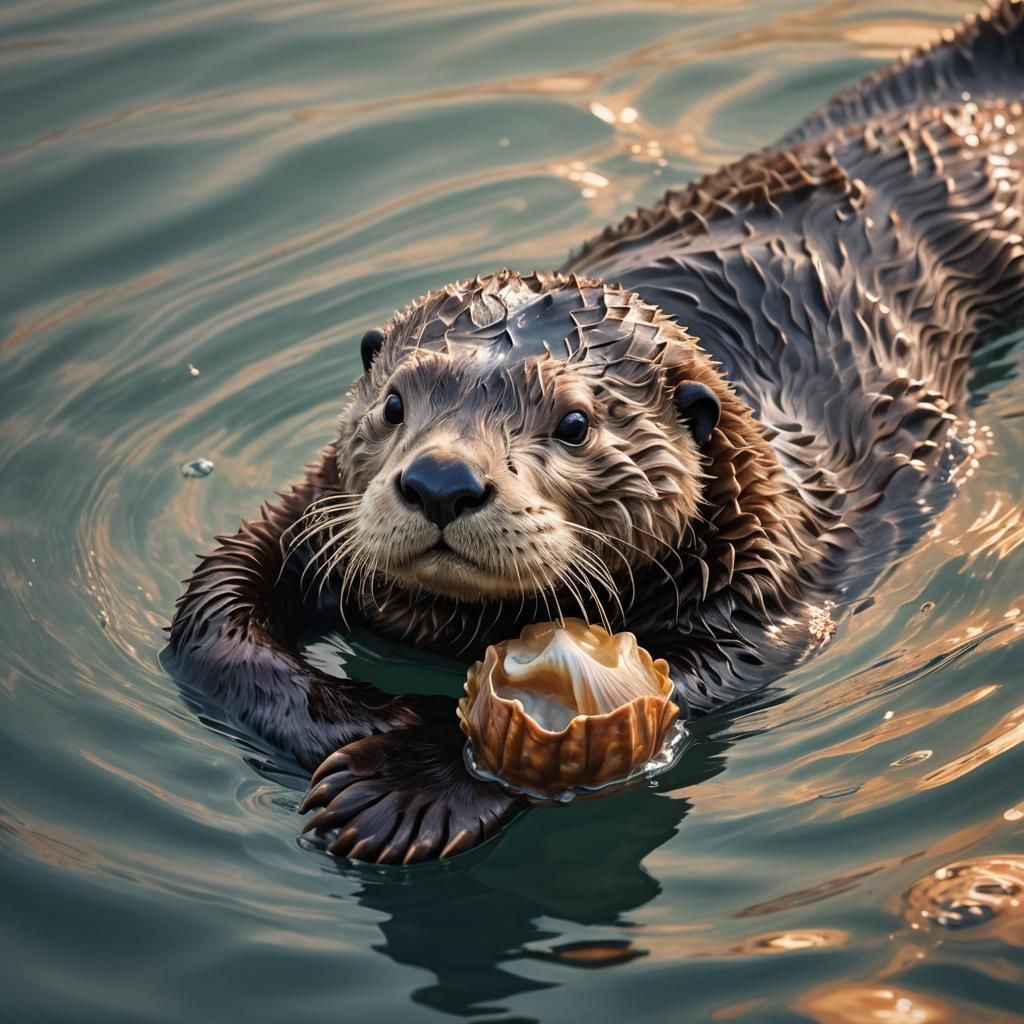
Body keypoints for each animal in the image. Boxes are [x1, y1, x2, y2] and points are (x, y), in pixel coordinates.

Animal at [166, 1, 1024, 864]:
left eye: (575, 424)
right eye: (396, 405)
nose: (441, 482)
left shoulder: (768, 587)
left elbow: (697, 679)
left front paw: (408, 784)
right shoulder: (305, 512)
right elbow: (215, 610)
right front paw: (371, 713)